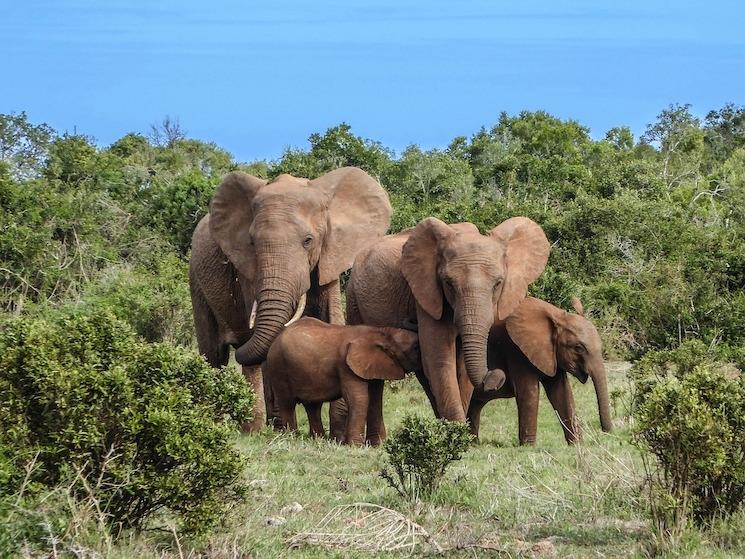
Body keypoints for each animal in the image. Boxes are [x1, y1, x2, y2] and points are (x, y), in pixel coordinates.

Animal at [189, 167, 392, 431]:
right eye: (252, 242)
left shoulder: (330, 256)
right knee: (214, 355)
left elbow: (332, 317)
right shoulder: (248, 270)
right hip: (196, 279)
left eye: (308, 241)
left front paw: (338, 430)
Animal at [262, 317, 421, 445]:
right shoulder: (346, 366)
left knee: (313, 406)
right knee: (287, 404)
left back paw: (318, 440)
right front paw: (355, 446)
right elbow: (359, 399)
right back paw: (292, 438)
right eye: (416, 347)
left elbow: (375, 399)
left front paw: (379, 445)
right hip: (278, 367)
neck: (382, 332)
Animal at [346, 216, 550, 423]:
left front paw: (457, 429)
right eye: (448, 283)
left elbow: (461, 368)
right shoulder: (427, 293)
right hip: (353, 297)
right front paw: (457, 429)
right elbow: (440, 358)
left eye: (498, 284)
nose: (495, 376)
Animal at [467, 297, 613, 445]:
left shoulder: (551, 355)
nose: (606, 432)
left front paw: (577, 444)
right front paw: (528, 446)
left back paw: (473, 442)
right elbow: (529, 393)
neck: (558, 315)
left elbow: (562, 393)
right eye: (578, 348)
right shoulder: (515, 350)